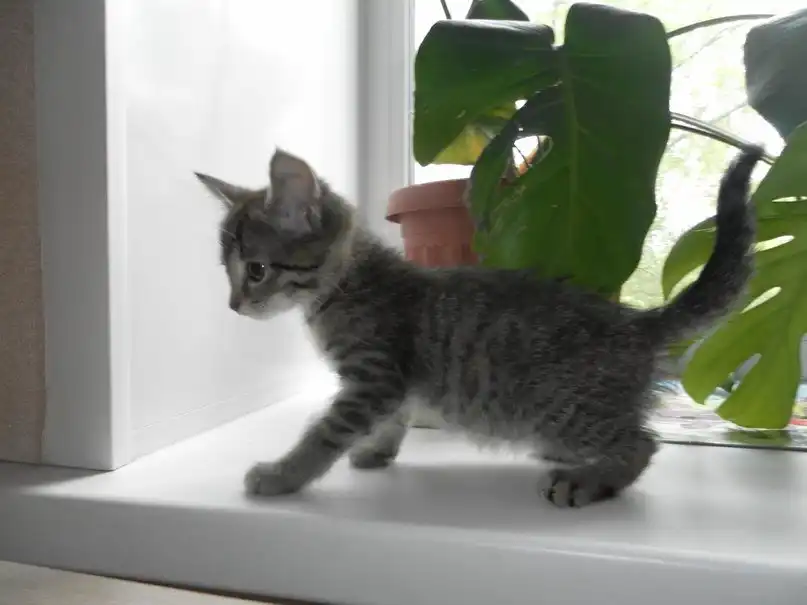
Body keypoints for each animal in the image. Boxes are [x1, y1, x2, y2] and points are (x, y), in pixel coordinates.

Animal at [195, 145, 762, 507]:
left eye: (256, 270)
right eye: (227, 270)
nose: (233, 304)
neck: (345, 283)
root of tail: (635, 323)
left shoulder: (374, 375)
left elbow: (324, 433)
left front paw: (283, 474)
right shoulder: (392, 383)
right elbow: (394, 419)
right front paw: (377, 451)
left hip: (563, 408)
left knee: (643, 443)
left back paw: (588, 481)